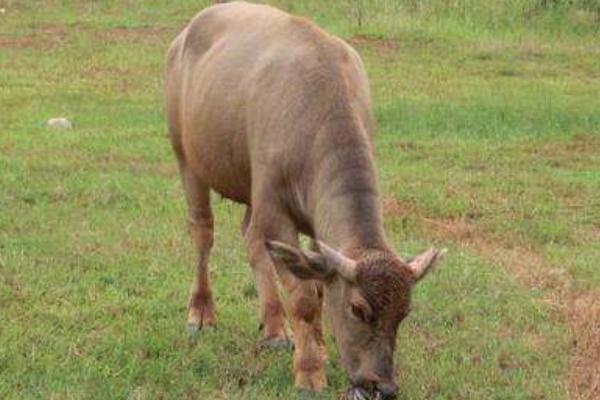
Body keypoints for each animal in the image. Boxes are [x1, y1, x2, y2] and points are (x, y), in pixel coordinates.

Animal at [165, 1, 446, 398]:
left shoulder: (311, 221)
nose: (382, 385)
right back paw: (201, 314)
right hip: (187, 157)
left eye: (404, 314)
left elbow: (318, 286)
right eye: (358, 309)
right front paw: (309, 371)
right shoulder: (275, 209)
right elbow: (303, 298)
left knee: (251, 239)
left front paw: (317, 347)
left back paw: (274, 328)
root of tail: (185, 33)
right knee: (203, 232)